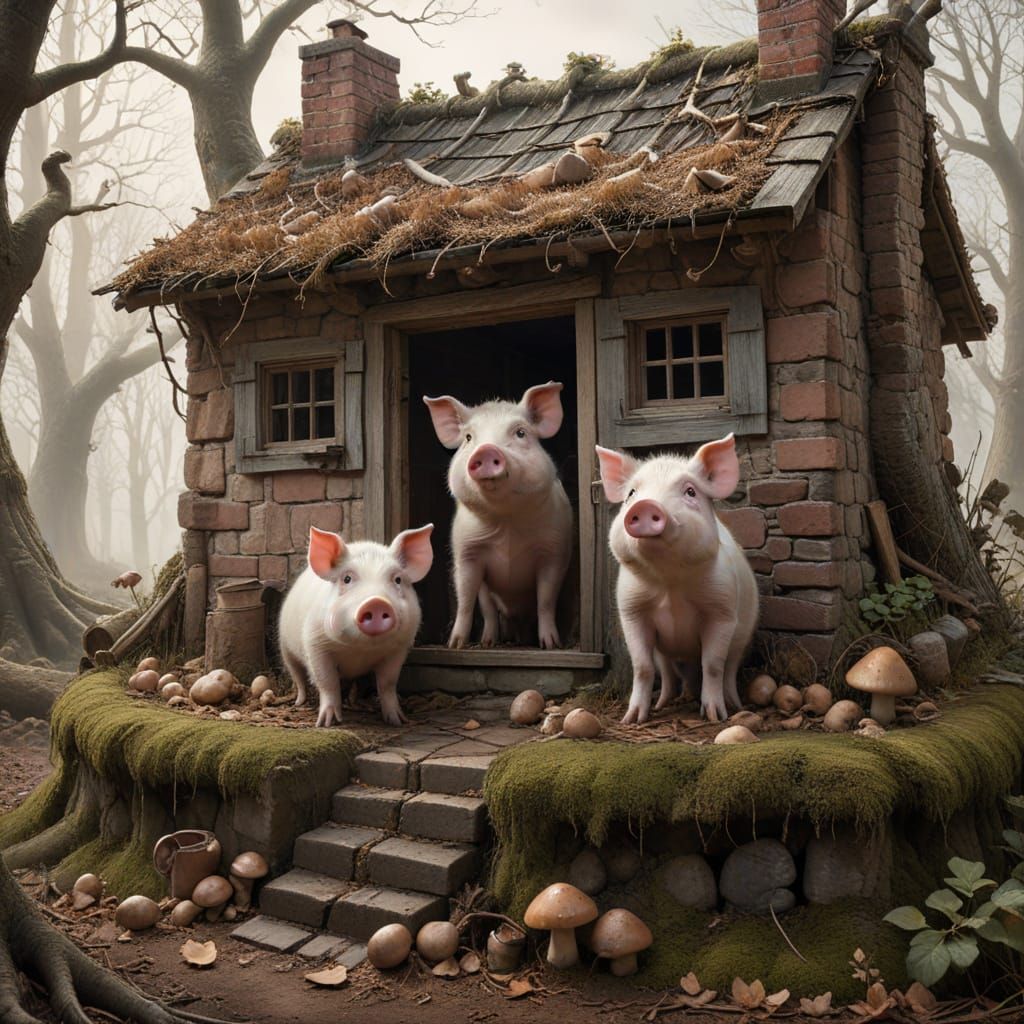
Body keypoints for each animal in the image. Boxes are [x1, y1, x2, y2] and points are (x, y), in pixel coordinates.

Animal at [279, 524, 434, 727]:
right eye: (347, 579)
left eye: (398, 580)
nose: (376, 602)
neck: (359, 649)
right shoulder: (315, 644)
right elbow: (327, 681)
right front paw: (326, 723)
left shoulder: (399, 649)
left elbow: (387, 683)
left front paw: (398, 721)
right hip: (285, 647)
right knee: (297, 676)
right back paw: (299, 702)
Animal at [423, 382, 572, 650]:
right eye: (469, 437)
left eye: (520, 433)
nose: (485, 451)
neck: (506, 521)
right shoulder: (466, 552)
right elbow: (466, 599)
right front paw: (455, 645)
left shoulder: (555, 552)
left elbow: (546, 600)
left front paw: (550, 645)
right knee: (489, 609)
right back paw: (488, 642)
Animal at [596, 434, 758, 724]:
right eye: (631, 494)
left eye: (690, 492)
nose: (645, 506)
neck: (669, 581)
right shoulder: (631, 610)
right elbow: (642, 666)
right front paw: (631, 719)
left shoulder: (722, 610)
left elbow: (712, 665)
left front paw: (715, 717)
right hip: (663, 650)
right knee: (667, 671)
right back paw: (664, 703)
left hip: (743, 635)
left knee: (728, 668)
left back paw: (734, 706)